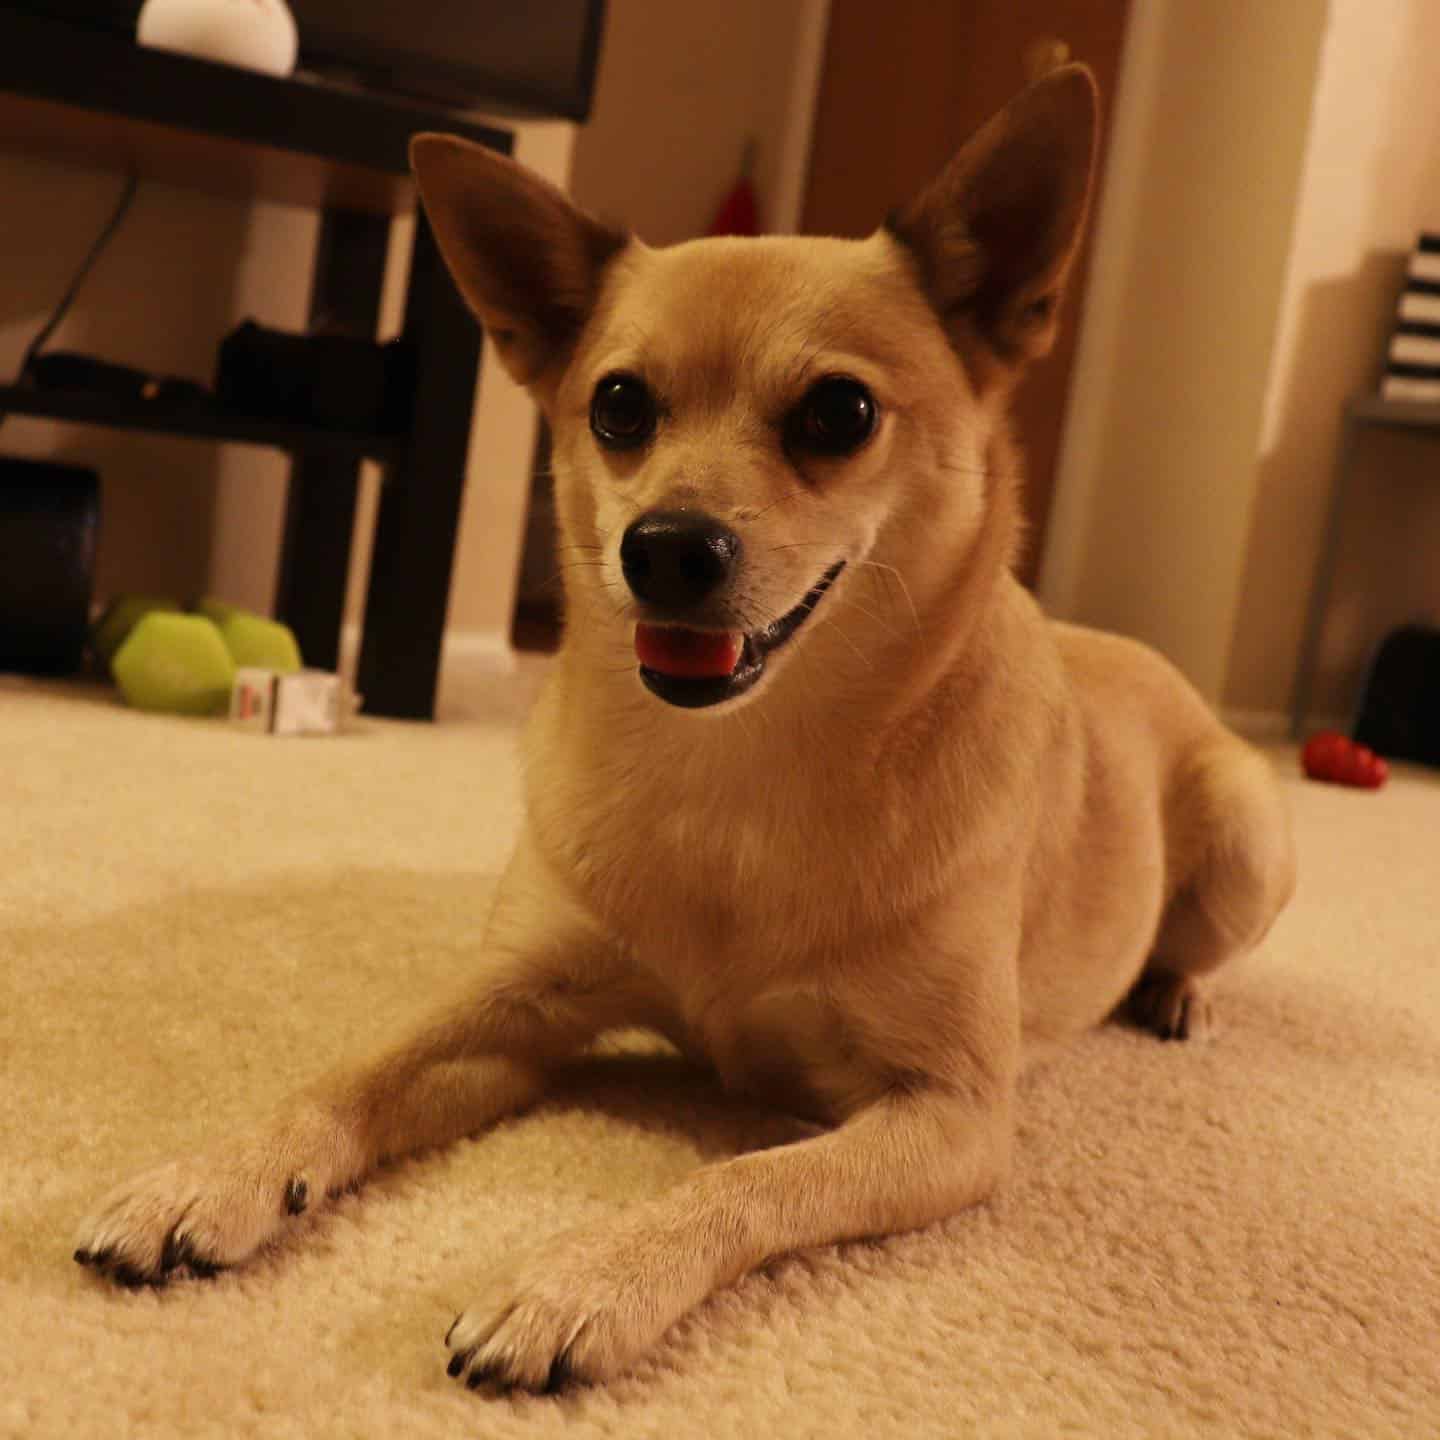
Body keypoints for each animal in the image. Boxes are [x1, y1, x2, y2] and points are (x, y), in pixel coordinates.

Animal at [75, 67, 1296, 1393]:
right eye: (618, 405)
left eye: (841, 412)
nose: (663, 548)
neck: (737, 770)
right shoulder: (513, 1005)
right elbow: (349, 1072)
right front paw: (212, 1175)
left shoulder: (952, 1111)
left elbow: (745, 1179)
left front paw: (584, 1283)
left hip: (1245, 834)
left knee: (1203, 939)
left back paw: (1179, 993)